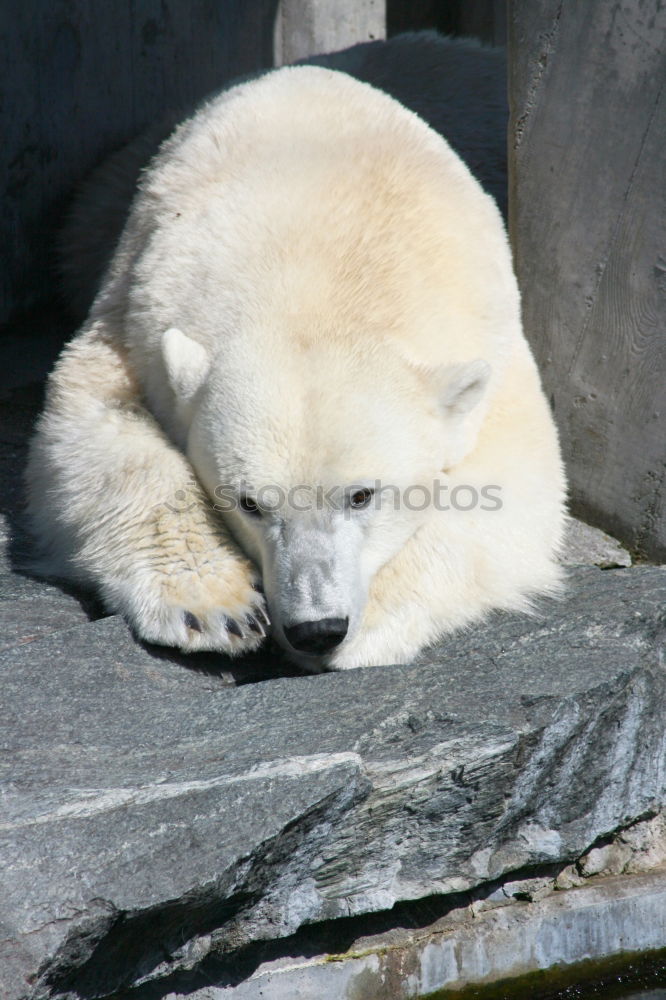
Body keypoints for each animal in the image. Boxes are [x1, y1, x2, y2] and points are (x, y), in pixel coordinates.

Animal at [27, 64, 564, 672]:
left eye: (362, 495)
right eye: (249, 503)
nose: (317, 628)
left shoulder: (494, 347)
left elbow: (513, 483)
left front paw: (375, 617)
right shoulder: (133, 311)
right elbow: (98, 428)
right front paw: (217, 607)